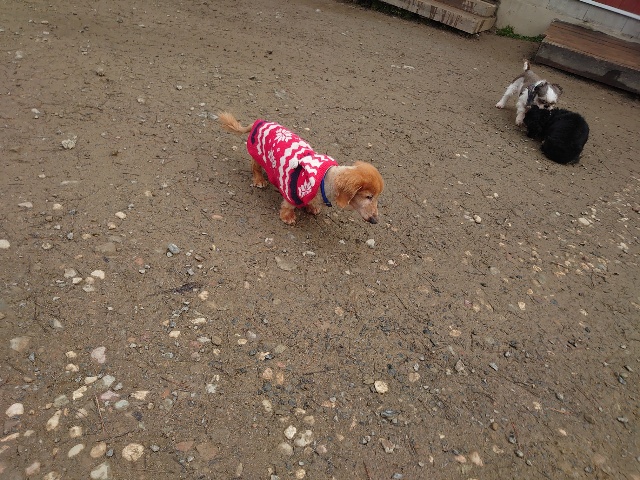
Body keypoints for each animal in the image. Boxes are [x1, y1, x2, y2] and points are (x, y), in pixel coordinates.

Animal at [218, 112, 384, 225]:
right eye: (368, 197)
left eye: (376, 197)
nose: (375, 220)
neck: (324, 179)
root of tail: (259, 122)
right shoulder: (291, 189)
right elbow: (288, 205)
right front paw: (288, 217)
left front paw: (312, 207)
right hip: (258, 155)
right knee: (255, 166)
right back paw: (259, 180)